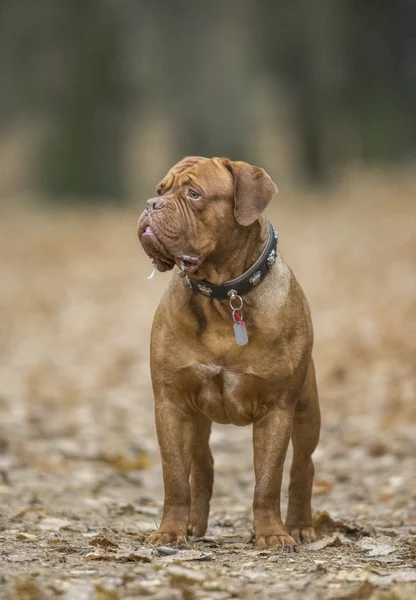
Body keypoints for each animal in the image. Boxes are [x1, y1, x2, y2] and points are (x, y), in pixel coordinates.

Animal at [138, 157, 320, 552]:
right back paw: (193, 523)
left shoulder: (277, 409)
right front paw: (170, 530)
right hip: (196, 417)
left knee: (303, 466)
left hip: (307, 410)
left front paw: (272, 533)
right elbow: (175, 476)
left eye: (194, 194)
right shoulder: (171, 403)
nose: (151, 205)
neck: (223, 297)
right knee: (201, 464)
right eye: (160, 190)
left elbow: (268, 480)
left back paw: (300, 526)